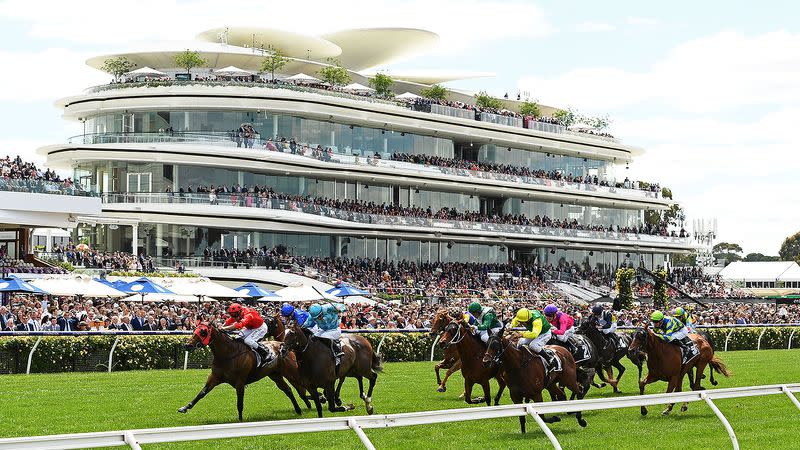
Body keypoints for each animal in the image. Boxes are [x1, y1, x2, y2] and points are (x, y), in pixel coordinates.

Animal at [178, 322, 310, 420]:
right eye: (194, 330)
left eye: (203, 332)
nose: (188, 345)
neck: (227, 354)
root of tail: (284, 346)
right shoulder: (214, 377)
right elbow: (202, 393)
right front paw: (185, 407)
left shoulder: (240, 382)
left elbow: (240, 403)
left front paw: (240, 420)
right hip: (275, 375)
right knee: (288, 390)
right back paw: (298, 410)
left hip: (291, 372)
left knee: (302, 385)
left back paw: (312, 402)